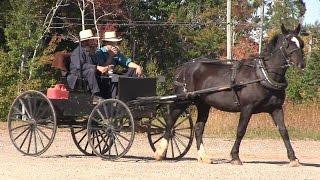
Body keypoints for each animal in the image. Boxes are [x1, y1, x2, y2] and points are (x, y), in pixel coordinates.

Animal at [155, 24, 304, 167]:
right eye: (287, 43)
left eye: (301, 43)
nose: (302, 64)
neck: (262, 75)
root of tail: (183, 68)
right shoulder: (247, 108)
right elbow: (241, 131)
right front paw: (235, 156)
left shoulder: (276, 108)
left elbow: (284, 131)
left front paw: (293, 158)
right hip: (182, 100)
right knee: (170, 122)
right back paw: (160, 153)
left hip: (203, 104)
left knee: (198, 128)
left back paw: (204, 157)